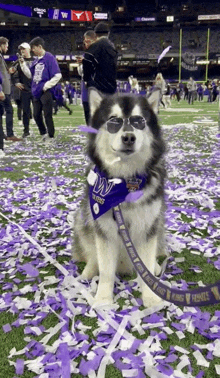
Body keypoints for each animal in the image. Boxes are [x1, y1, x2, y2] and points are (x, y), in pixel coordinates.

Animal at [72, 88, 167, 308]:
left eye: (139, 121)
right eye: (113, 121)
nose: (128, 138)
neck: (124, 181)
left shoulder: (148, 227)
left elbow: (146, 264)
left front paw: (151, 297)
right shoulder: (104, 228)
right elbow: (106, 270)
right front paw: (103, 299)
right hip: (82, 219)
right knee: (93, 255)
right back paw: (88, 271)